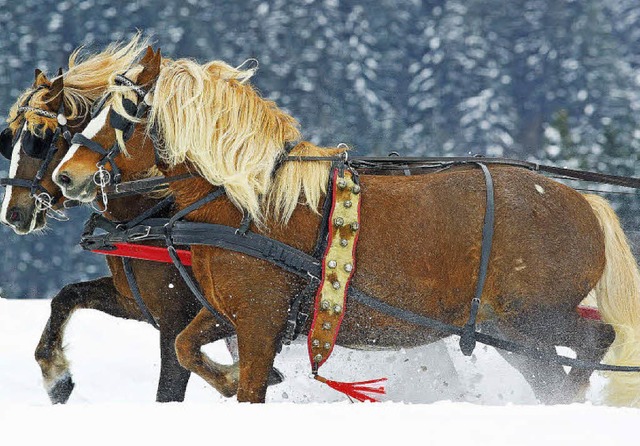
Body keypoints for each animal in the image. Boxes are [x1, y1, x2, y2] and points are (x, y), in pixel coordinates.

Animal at [52, 47, 640, 406]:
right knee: (567, 358)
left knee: (595, 340)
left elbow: (241, 384)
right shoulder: (226, 311)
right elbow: (186, 349)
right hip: (512, 327)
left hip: (528, 317)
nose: (66, 176)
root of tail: (586, 203)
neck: (247, 205)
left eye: (122, 115)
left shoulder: (259, 319)